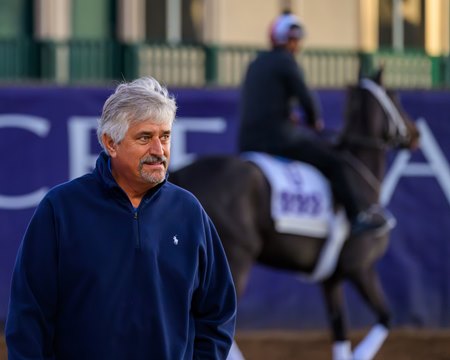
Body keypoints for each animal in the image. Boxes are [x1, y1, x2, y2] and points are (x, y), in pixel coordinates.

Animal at [170, 70, 422, 360]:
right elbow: (386, 317)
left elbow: (340, 332)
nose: (416, 133)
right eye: (395, 97)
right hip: (236, 260)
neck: (359, 180)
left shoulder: (332, 280)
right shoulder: (361, 268)